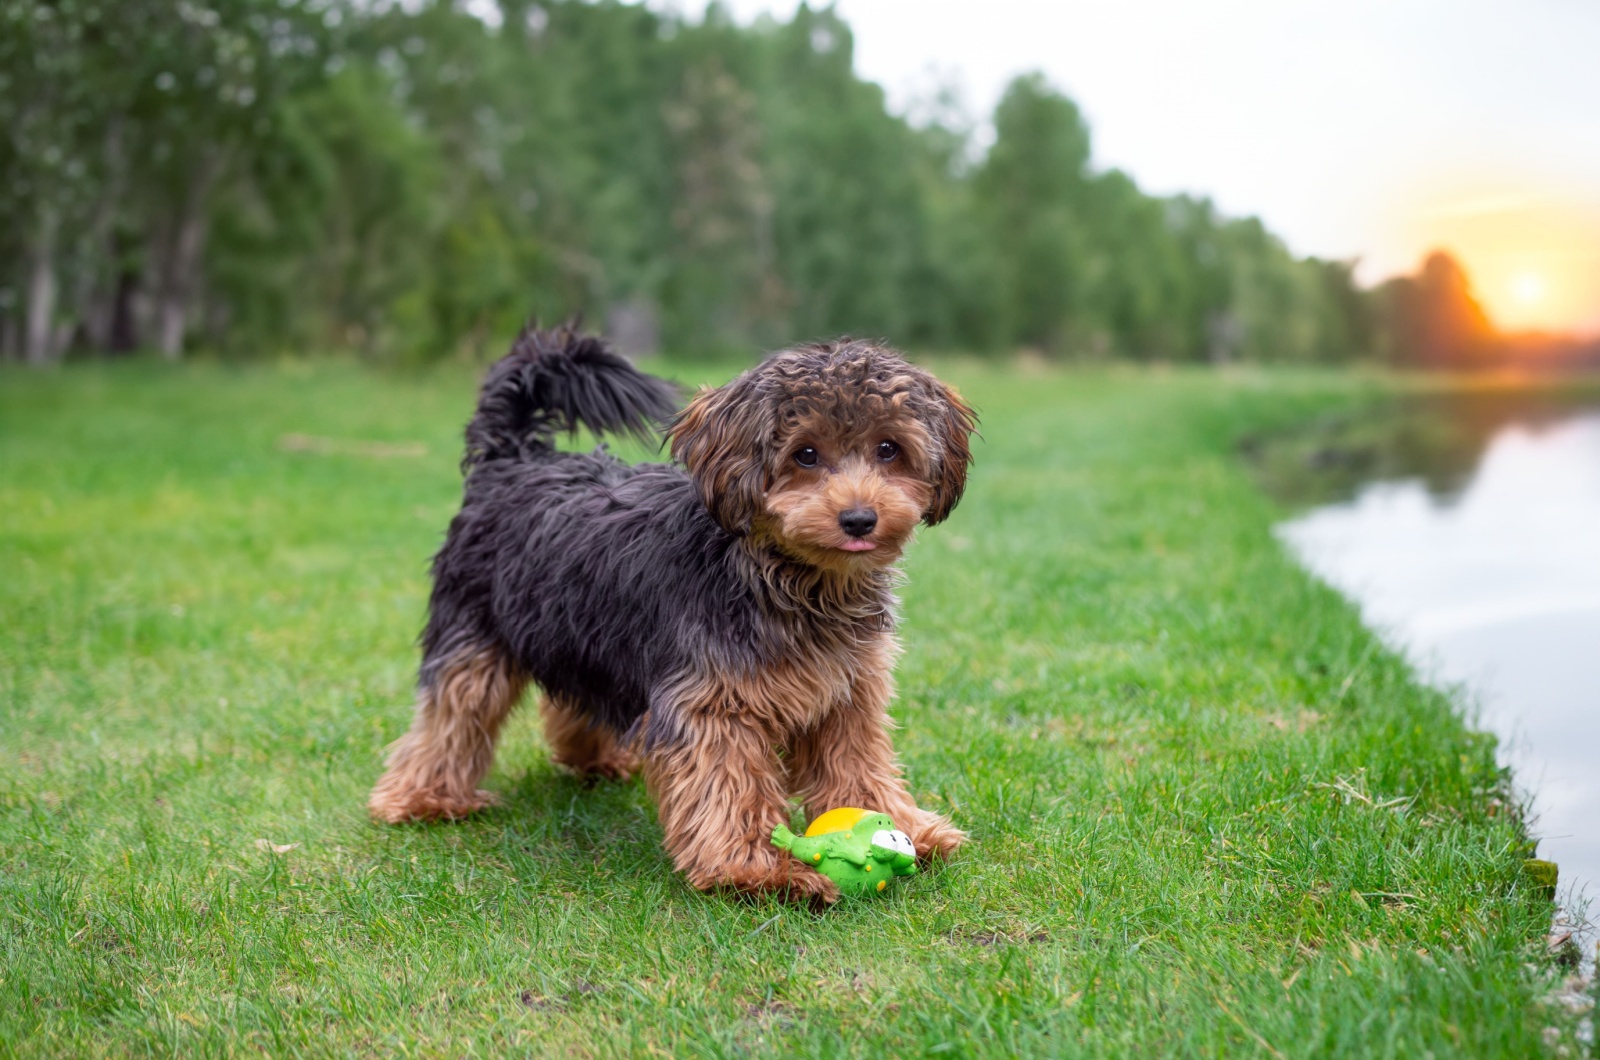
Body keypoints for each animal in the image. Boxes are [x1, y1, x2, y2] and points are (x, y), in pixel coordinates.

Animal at [371, 326, 972, 903]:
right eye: (804, 454)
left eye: (889, 449)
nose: (859, 519)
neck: (778, 575)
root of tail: (510, 460)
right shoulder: (714, 702)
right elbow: (729, 785)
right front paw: (757, 870)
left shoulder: (846, 692)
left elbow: (857, 766)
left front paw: (908, 830)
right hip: (475, 630)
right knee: (453, 711)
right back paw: (424, 796)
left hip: (584, 633)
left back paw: (595, 758)